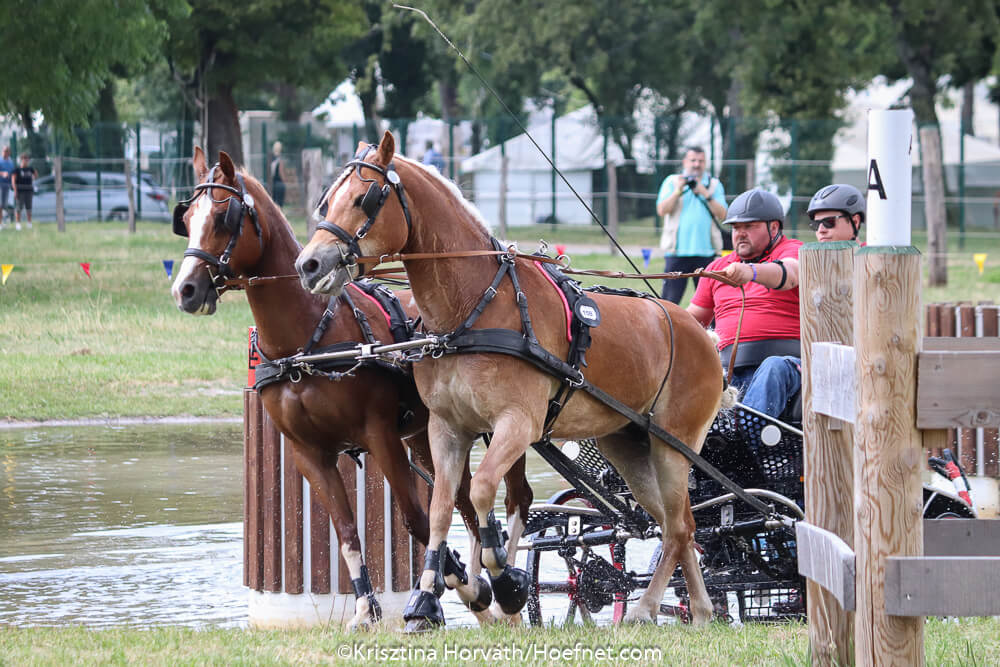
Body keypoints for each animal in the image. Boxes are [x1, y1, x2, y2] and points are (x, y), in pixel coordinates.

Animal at [170, 147, 532, 628]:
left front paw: (457, 587)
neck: (307, 342)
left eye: (223, 218)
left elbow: (416, 519)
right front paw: (367, 607)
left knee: (515, 498)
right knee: (466, 504)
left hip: (497, 425)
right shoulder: (309, 453)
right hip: (427, 435)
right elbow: (346, 530)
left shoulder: (380, 436)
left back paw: (502, 589)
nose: (186, 290)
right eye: (187, 217)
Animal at [295, 132, 731, 630]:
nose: (309, 264)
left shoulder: (517, 424)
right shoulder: (446, 428)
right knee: (680, 525)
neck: (473, 307)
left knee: (678, 526)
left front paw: (506, 581)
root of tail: (703, 333)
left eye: (364, 199)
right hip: (630, 446)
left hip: (673, 444)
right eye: (326, 201)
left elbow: (484, 489)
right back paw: (701, 610)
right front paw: (425, 600)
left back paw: (645, 608)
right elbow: (442, 508)